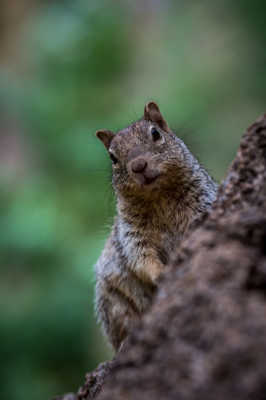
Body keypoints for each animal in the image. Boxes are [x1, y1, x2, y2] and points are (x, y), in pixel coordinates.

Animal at [94, 102, 217, 350]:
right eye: (112, 157)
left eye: (155, 134)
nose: (139, 165)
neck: (159, 197)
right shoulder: (131, 232)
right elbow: (140, 257)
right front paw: (160, 273)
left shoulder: (203, 203)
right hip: (113, 302)